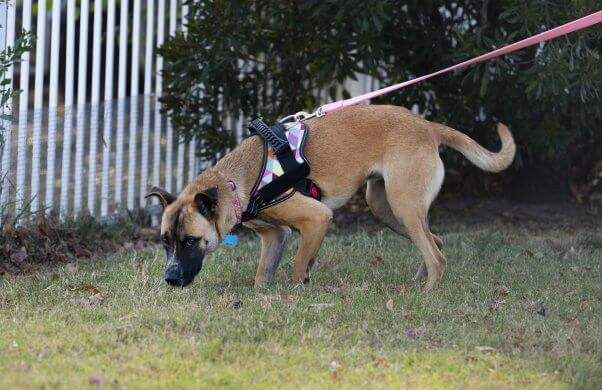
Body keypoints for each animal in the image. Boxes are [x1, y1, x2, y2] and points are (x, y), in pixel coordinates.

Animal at [148, 105, 512, 288]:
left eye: (191, 241)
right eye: (165, 241)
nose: (170, 278)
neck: (237, 183)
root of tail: (427, 126)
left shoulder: (317, 218)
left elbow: (297, 267)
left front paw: (296, 295)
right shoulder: (275, 235)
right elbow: (263, 275)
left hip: (403, 206)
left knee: (437, 256)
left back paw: (426, 294)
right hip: (386, 208)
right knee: (436, 241)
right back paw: (416, 283)